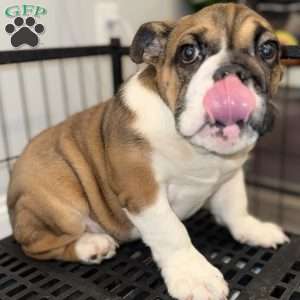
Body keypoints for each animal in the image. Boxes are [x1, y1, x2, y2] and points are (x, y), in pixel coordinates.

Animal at [7, 2, 288, 300]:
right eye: (188, 53)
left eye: (268, 50)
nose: (233, 71)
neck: (193, 146)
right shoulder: (143, 192)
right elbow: (172, 231)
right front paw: (194, 275)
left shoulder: (230, 174)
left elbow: (236, 206)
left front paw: (253, 229)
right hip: (60, 205)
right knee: (37, 245)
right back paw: (90, 245)